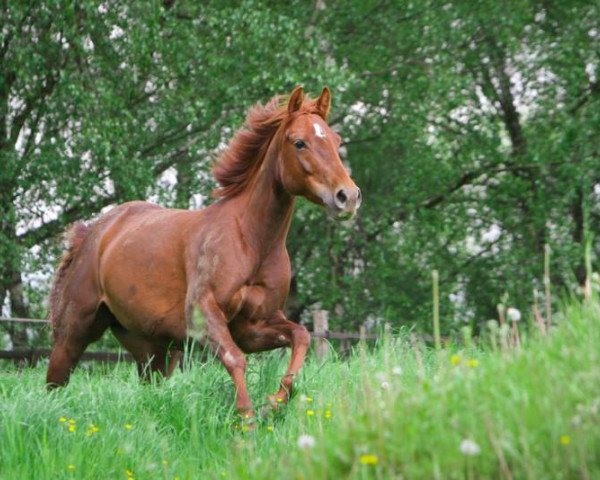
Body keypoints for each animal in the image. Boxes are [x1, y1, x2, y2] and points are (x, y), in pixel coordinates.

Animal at [47, 88, 360, 418]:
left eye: (336, 140)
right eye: (299, 142)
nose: (348, 197)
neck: (251, 241)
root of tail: (94, 232)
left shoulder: (253, 327)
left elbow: (301, 336)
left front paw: (274, 402)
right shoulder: (204, 317)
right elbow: (236, 359)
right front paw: (246, 418)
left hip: (152, 349)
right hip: (73, 335)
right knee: (56, 381)